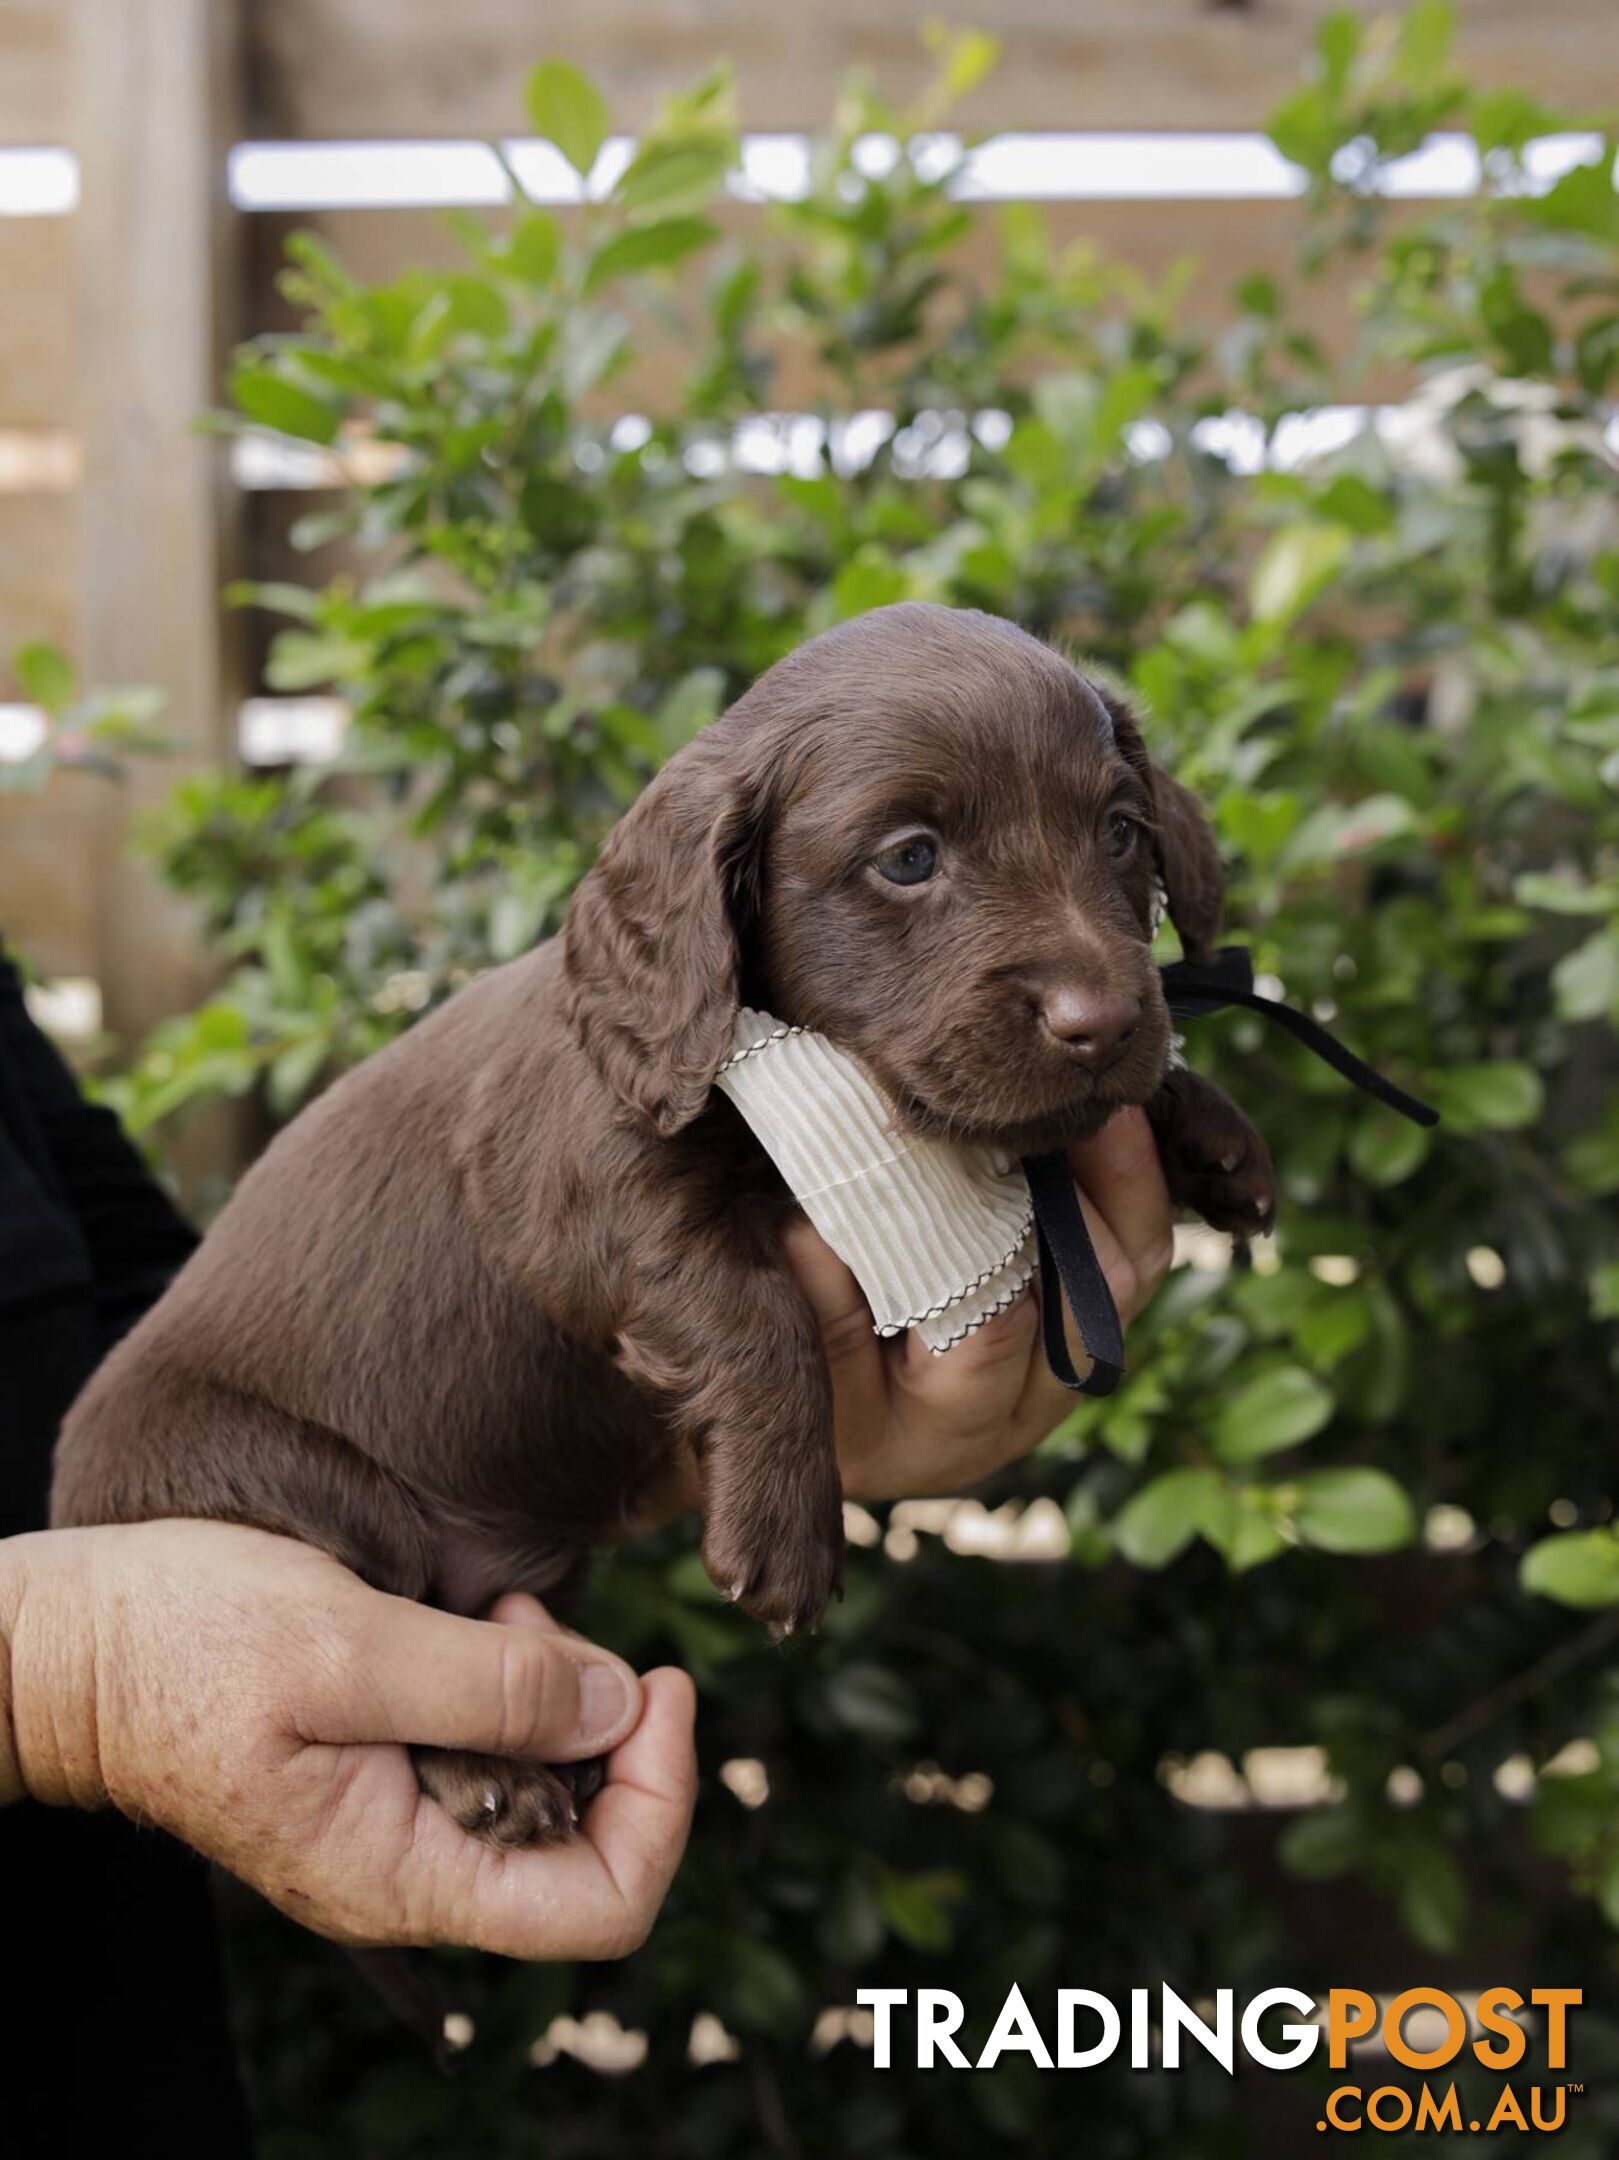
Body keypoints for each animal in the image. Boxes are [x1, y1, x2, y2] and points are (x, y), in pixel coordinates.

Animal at [53, 604, 1277, 1840]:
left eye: (1118, 832)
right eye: (909, 858)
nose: (1103, 1019)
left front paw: (1209, 1130)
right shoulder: (579, 1196)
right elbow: (749, 1310)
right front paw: (785, 1533)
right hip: (299, 1491)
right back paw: (490, 1773)